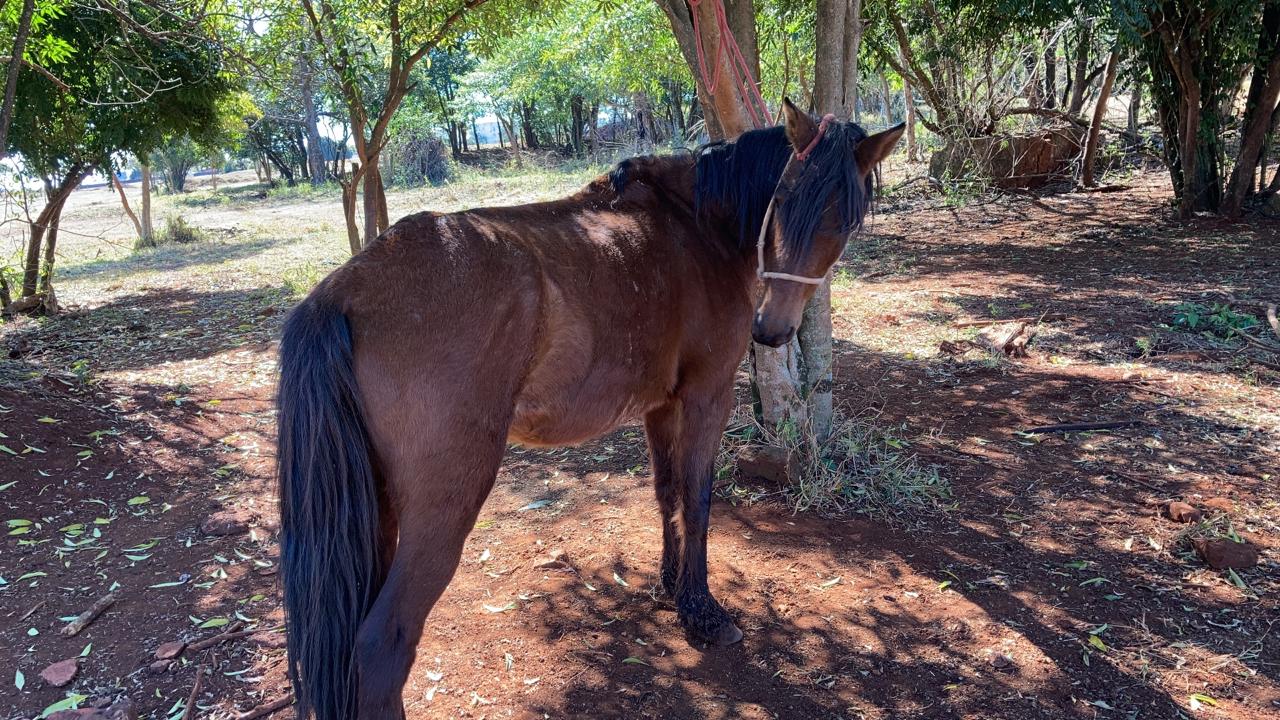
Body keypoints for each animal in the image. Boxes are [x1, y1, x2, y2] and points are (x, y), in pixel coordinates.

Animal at [276, 101, 906, 717]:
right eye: (784, 200)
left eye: (845, 219)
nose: (772, 330)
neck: (696, 225)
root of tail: (344, 291)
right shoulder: (707, 396)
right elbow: (699, 499)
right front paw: (703, 611)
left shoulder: (660, 406)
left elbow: (669, 493)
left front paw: (673, 587)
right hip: (445, 503)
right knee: (383, 644)